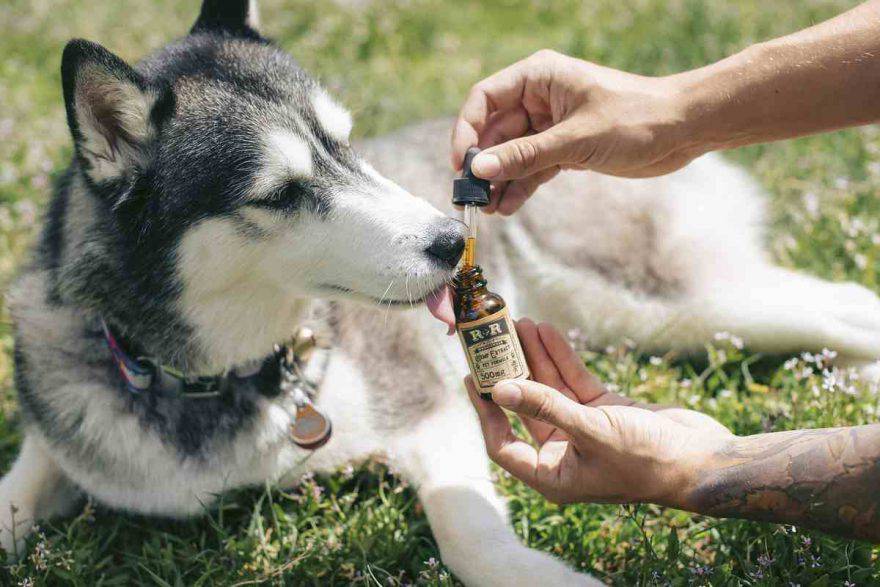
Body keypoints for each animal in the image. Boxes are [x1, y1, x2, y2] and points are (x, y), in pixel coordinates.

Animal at [1, 1, 880, 584]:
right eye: (280, 193)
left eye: (346, 143)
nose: (452, 241)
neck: (225, 379)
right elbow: (18, 487)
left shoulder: (428, 401)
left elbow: (465, 529)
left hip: (665, 299)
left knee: (844, 301)